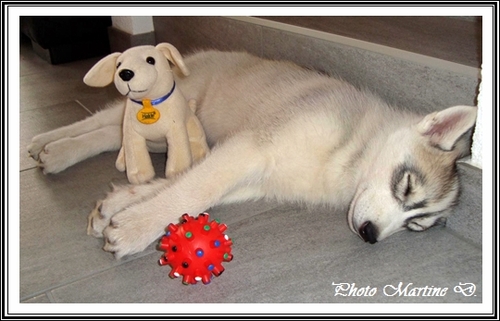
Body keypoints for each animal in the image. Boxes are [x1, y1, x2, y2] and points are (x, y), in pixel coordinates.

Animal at [26, 51, 476, 258]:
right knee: (103, 119)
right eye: (407, 186)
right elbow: (194, 190)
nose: (370, 236)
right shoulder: (253, 146)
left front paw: (120, 206)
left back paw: (55, 152)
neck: (350, 154)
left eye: (416, 225)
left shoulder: (254, 173)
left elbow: (181, 185)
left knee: (109, 133)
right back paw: (45, 142)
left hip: (162, 134)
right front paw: (136, 229)